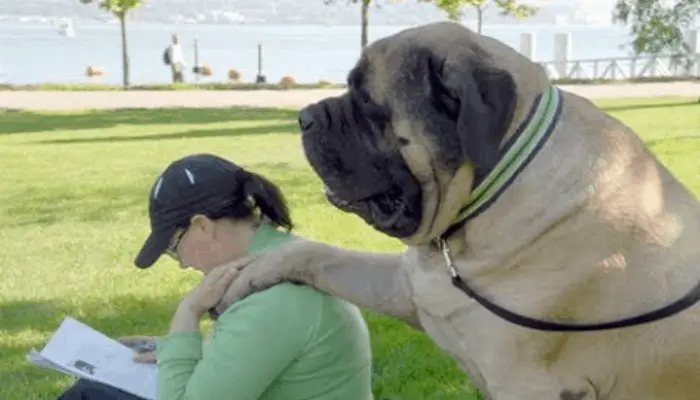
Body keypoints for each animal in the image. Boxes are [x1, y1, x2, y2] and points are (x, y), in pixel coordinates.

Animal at [219, 21, 700, 400]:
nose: (304, 117)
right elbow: (321, 255)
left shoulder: (527, 384)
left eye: (368, 102)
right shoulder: (409, 289)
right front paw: (249, 270)